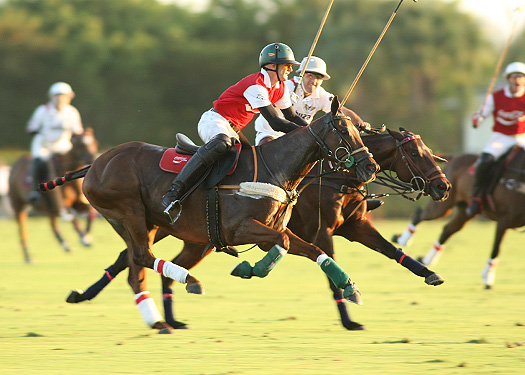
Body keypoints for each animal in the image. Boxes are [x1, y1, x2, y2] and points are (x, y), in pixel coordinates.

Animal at [8, 128, 99, 262]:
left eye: (94, 141)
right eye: (80, 145)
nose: (92, 157)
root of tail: (17, 162)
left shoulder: (78, 203)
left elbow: (90, 213)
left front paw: (86, 236)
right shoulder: (62, 204)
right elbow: (72, 217)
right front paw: (83, 237)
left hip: (47, 208)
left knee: (52, 224)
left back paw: (65, 245)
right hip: (18, 205)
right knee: (22, 230)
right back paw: (28, 256)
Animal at [66, 129, 450, 332]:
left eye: (429, 150)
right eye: (417, 153)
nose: (443, 186)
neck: (330, 175)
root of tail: (95, 163)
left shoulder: (354, 226)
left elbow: (391, 250)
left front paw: (430, 273)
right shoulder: (320, 230)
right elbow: (317, 261)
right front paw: (349, 318)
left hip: (186, 234)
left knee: (137, 261)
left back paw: (162, 311)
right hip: (139, 217)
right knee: (134, 259)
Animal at [392, 147, 524, 288]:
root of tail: (454, 157)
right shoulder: (504, 219)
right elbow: (496, 248)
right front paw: (487, 278)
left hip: (464, 210)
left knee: (448, 229)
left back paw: (426, 259)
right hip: (442, 205)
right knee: (421, 214)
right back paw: (402, 240)